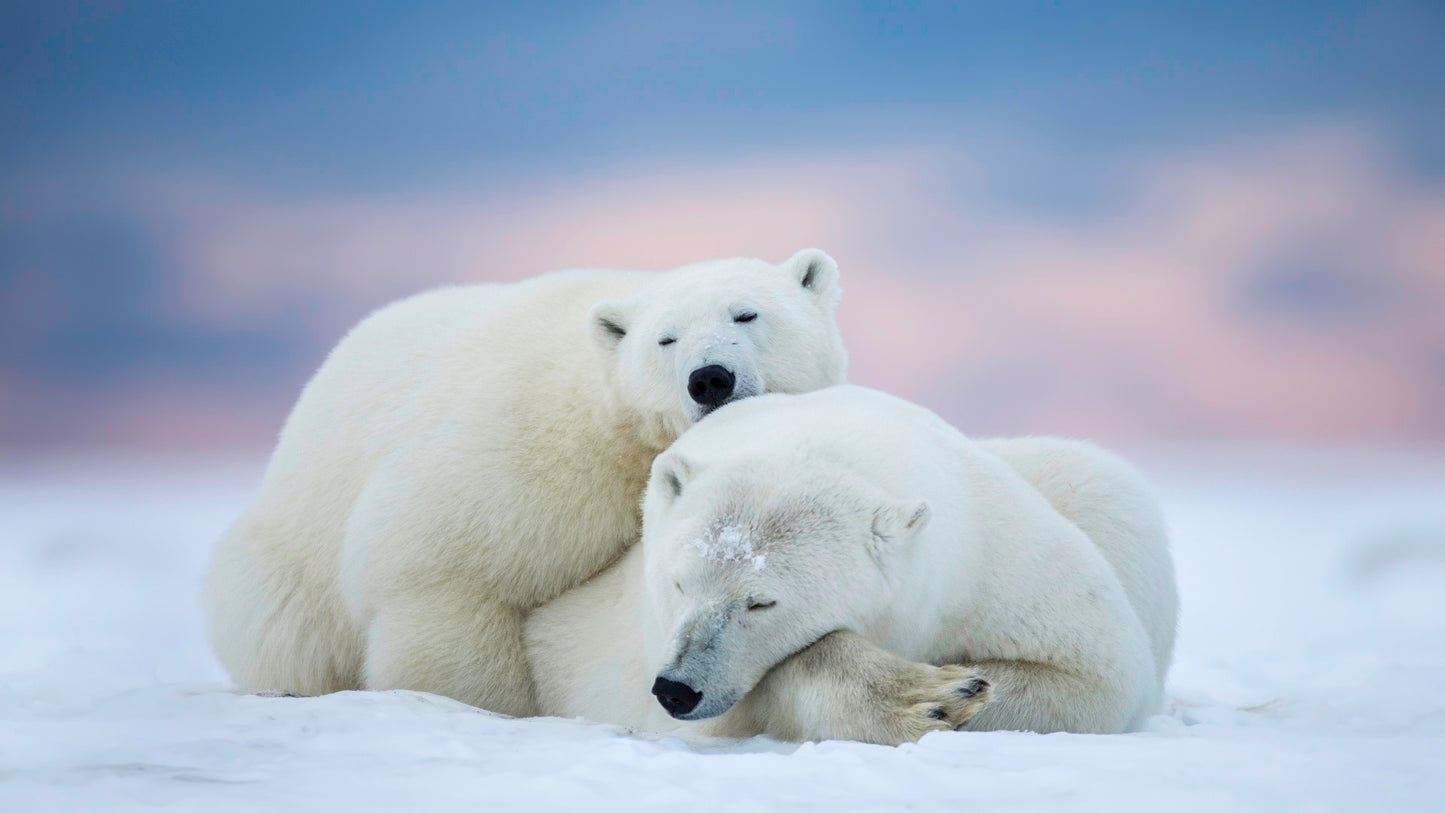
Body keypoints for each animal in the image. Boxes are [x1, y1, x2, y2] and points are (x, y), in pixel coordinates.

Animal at [203, 250, 848, 717]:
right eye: (665, 338)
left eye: (747, 314)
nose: (710, 378)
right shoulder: (524, 453)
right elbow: (447, 573)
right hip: (288, 558)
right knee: (282, 622)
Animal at [523, 385, 1178, 742]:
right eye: (678, 583)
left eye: (761, 601)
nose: (676, 689)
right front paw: (930, 696)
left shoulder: (994, 559)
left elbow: (1095, 674)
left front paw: (959, 688)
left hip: (1098, 492)